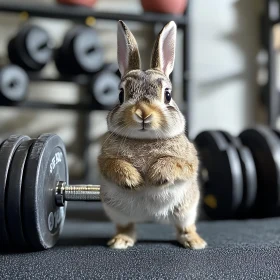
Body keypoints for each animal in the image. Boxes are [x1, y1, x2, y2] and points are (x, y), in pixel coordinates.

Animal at [97, 20, 207, 250]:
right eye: (120, 95)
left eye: (168, 95)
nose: (142, 113)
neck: (144, 139)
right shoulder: (105, 159)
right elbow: (113, 165)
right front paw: (133, 180)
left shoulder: (189, 161)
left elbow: (178, 164)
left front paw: (157, 175)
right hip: (117, 211)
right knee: (126, 226)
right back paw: (120, 241)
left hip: (186, 208)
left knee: (185, 226)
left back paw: (195, 242)